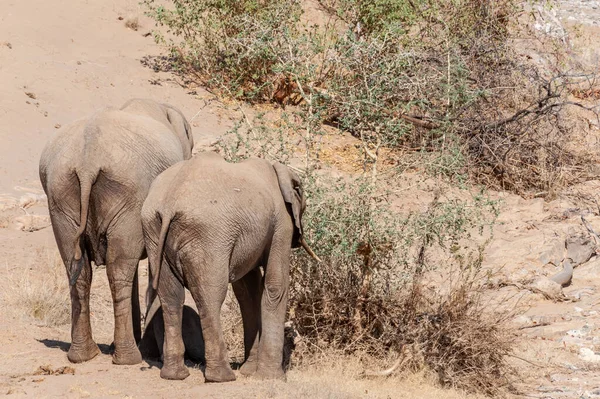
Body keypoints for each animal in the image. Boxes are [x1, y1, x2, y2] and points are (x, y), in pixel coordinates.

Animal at [38, 97, 193, 366]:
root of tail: (87, 162)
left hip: (60, 192)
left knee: (82, 269)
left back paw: (83, 355)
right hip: (128, 192)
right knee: (119, 271)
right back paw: (129, 358)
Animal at [141, 152, 322, 382]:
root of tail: (169, 203)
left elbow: (247, 292)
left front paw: (249, 371)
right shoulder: (281, 223)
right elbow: (275, 285)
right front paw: (272, 378)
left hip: (153, 231)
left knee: (171, 297)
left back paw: (174, 375)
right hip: (208, 236)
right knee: (210, 296)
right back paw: (222, 377)